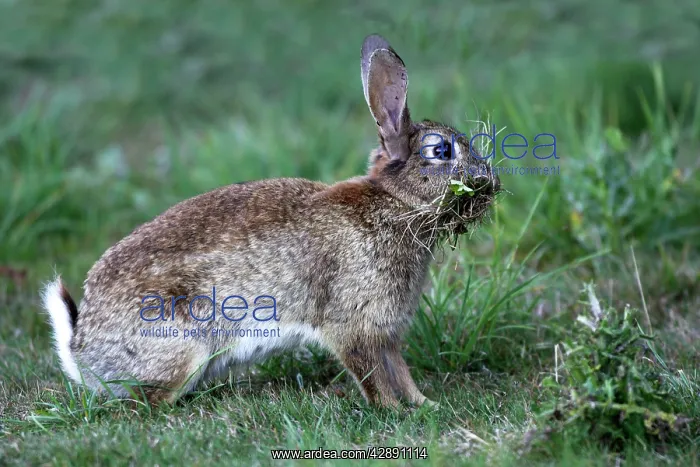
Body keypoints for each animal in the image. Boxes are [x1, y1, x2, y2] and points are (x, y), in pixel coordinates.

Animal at [41, 34, 500, 408]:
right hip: (181, 345)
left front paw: (425, 405)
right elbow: (372, 375)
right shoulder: (353, 325)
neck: (393, 203)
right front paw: (394, 412)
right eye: (441, 151)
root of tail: (83, 352)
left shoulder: (387, 333)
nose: (489, 181)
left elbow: (399, 372)